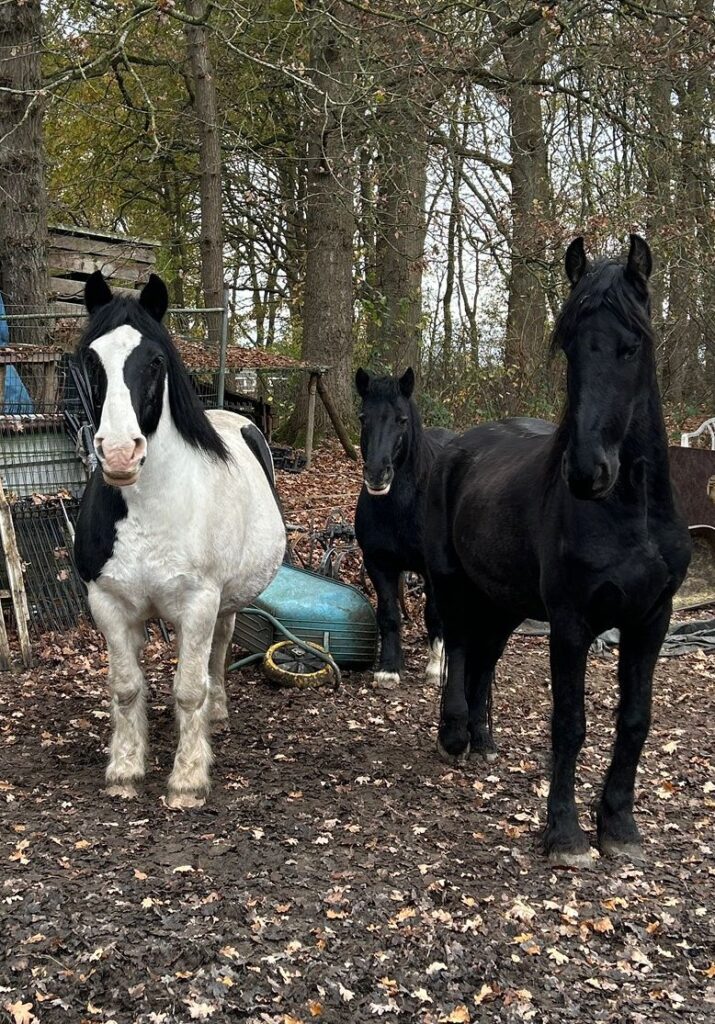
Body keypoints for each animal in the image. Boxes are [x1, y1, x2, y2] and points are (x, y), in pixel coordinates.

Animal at [73, 272, 285, 809]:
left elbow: (190, 688)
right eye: (91, 359)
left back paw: (218, 714)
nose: (121, 453)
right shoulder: (107, 602)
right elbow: (126, 687)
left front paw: (188, 780)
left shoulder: (199, 601)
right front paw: (125, 771)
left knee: (218, 651)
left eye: (155, 361)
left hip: (225, 602)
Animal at [354, 367, 455, 687]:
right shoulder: (379, 563)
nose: (377, 473)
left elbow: (434, 614)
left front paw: (436, 668)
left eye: (402, 419)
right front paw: (389, 668)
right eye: (363, 418)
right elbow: (389, 614)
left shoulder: (432, 569)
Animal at [424, 235, 691, 866]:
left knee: (485, 656)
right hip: (452, 584)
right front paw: (566, 835)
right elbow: (569, 723)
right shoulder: (571, 623)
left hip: (503, 601)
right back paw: (454, 735)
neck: (632, 518)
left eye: (631, 346)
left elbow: (635, 720)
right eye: (569, 345)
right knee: (459, 648)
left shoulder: (652, 619)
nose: (587, 472)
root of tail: (457, 448)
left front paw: (619, 827)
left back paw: (483, 739)